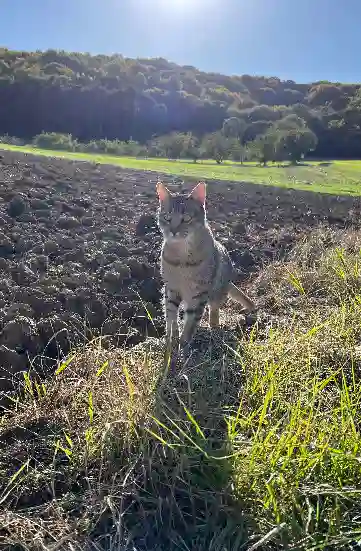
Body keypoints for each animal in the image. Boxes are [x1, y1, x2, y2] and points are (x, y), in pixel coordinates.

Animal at [156, 181, 255, 354]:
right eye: (167, 217)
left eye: (186, 218)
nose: (173, 231)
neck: (182, 258)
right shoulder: (170, 288)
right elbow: (170, 317)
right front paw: (171, 340)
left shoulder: (199, 293)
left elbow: (190, 322)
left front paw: (184, 346)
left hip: (217, 290)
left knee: (214, 310)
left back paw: (214, 328)